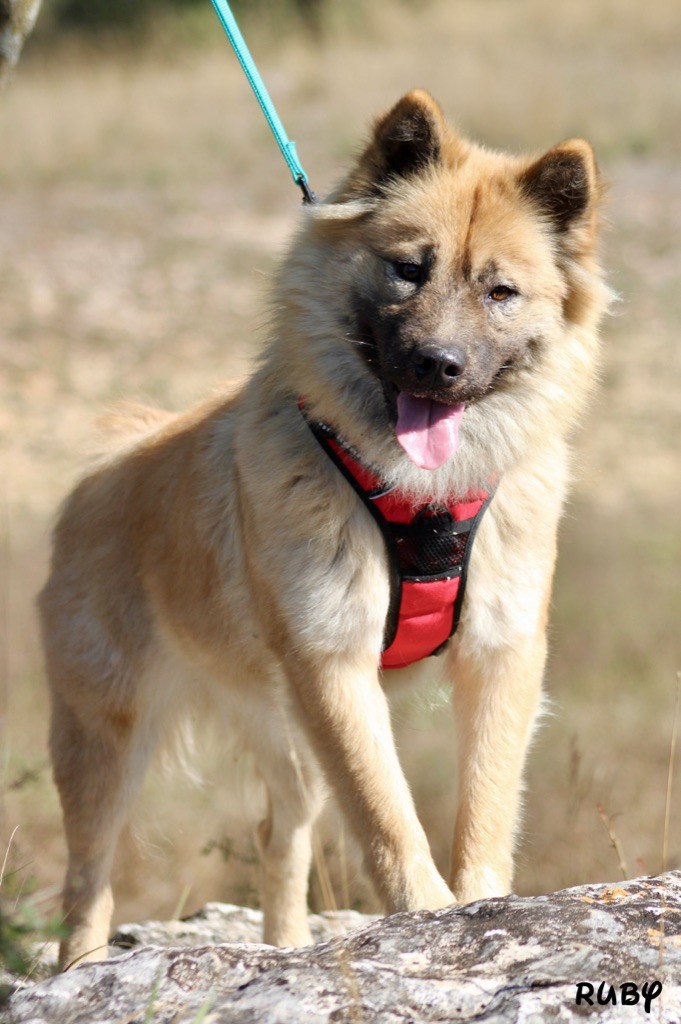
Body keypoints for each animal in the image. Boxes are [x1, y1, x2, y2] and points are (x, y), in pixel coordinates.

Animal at [38, 90, 610, 966]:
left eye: (500, 292)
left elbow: (482, 807)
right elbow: (385, 815)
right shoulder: (334, 667)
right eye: (408, 268)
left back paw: (283, 945)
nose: (437, 365)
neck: (421, 498)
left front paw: (481, 907)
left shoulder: (498, 655)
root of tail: (119, 451)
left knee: (279, 837)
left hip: (285, 735)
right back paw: (83, 968)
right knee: (88, 880)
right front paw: (427, 916)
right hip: (109, 736)